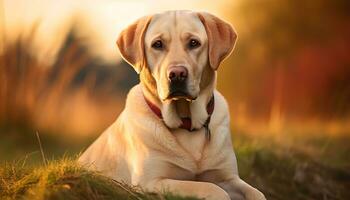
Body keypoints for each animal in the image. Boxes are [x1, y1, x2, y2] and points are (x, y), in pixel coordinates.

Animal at [78, 10, 266, 199]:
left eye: (194, 43)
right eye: (157, 44)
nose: (177, 74)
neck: (187, 123)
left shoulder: (228, 177)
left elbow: (257, 193)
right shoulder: (150, 182)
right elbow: (211, 188)